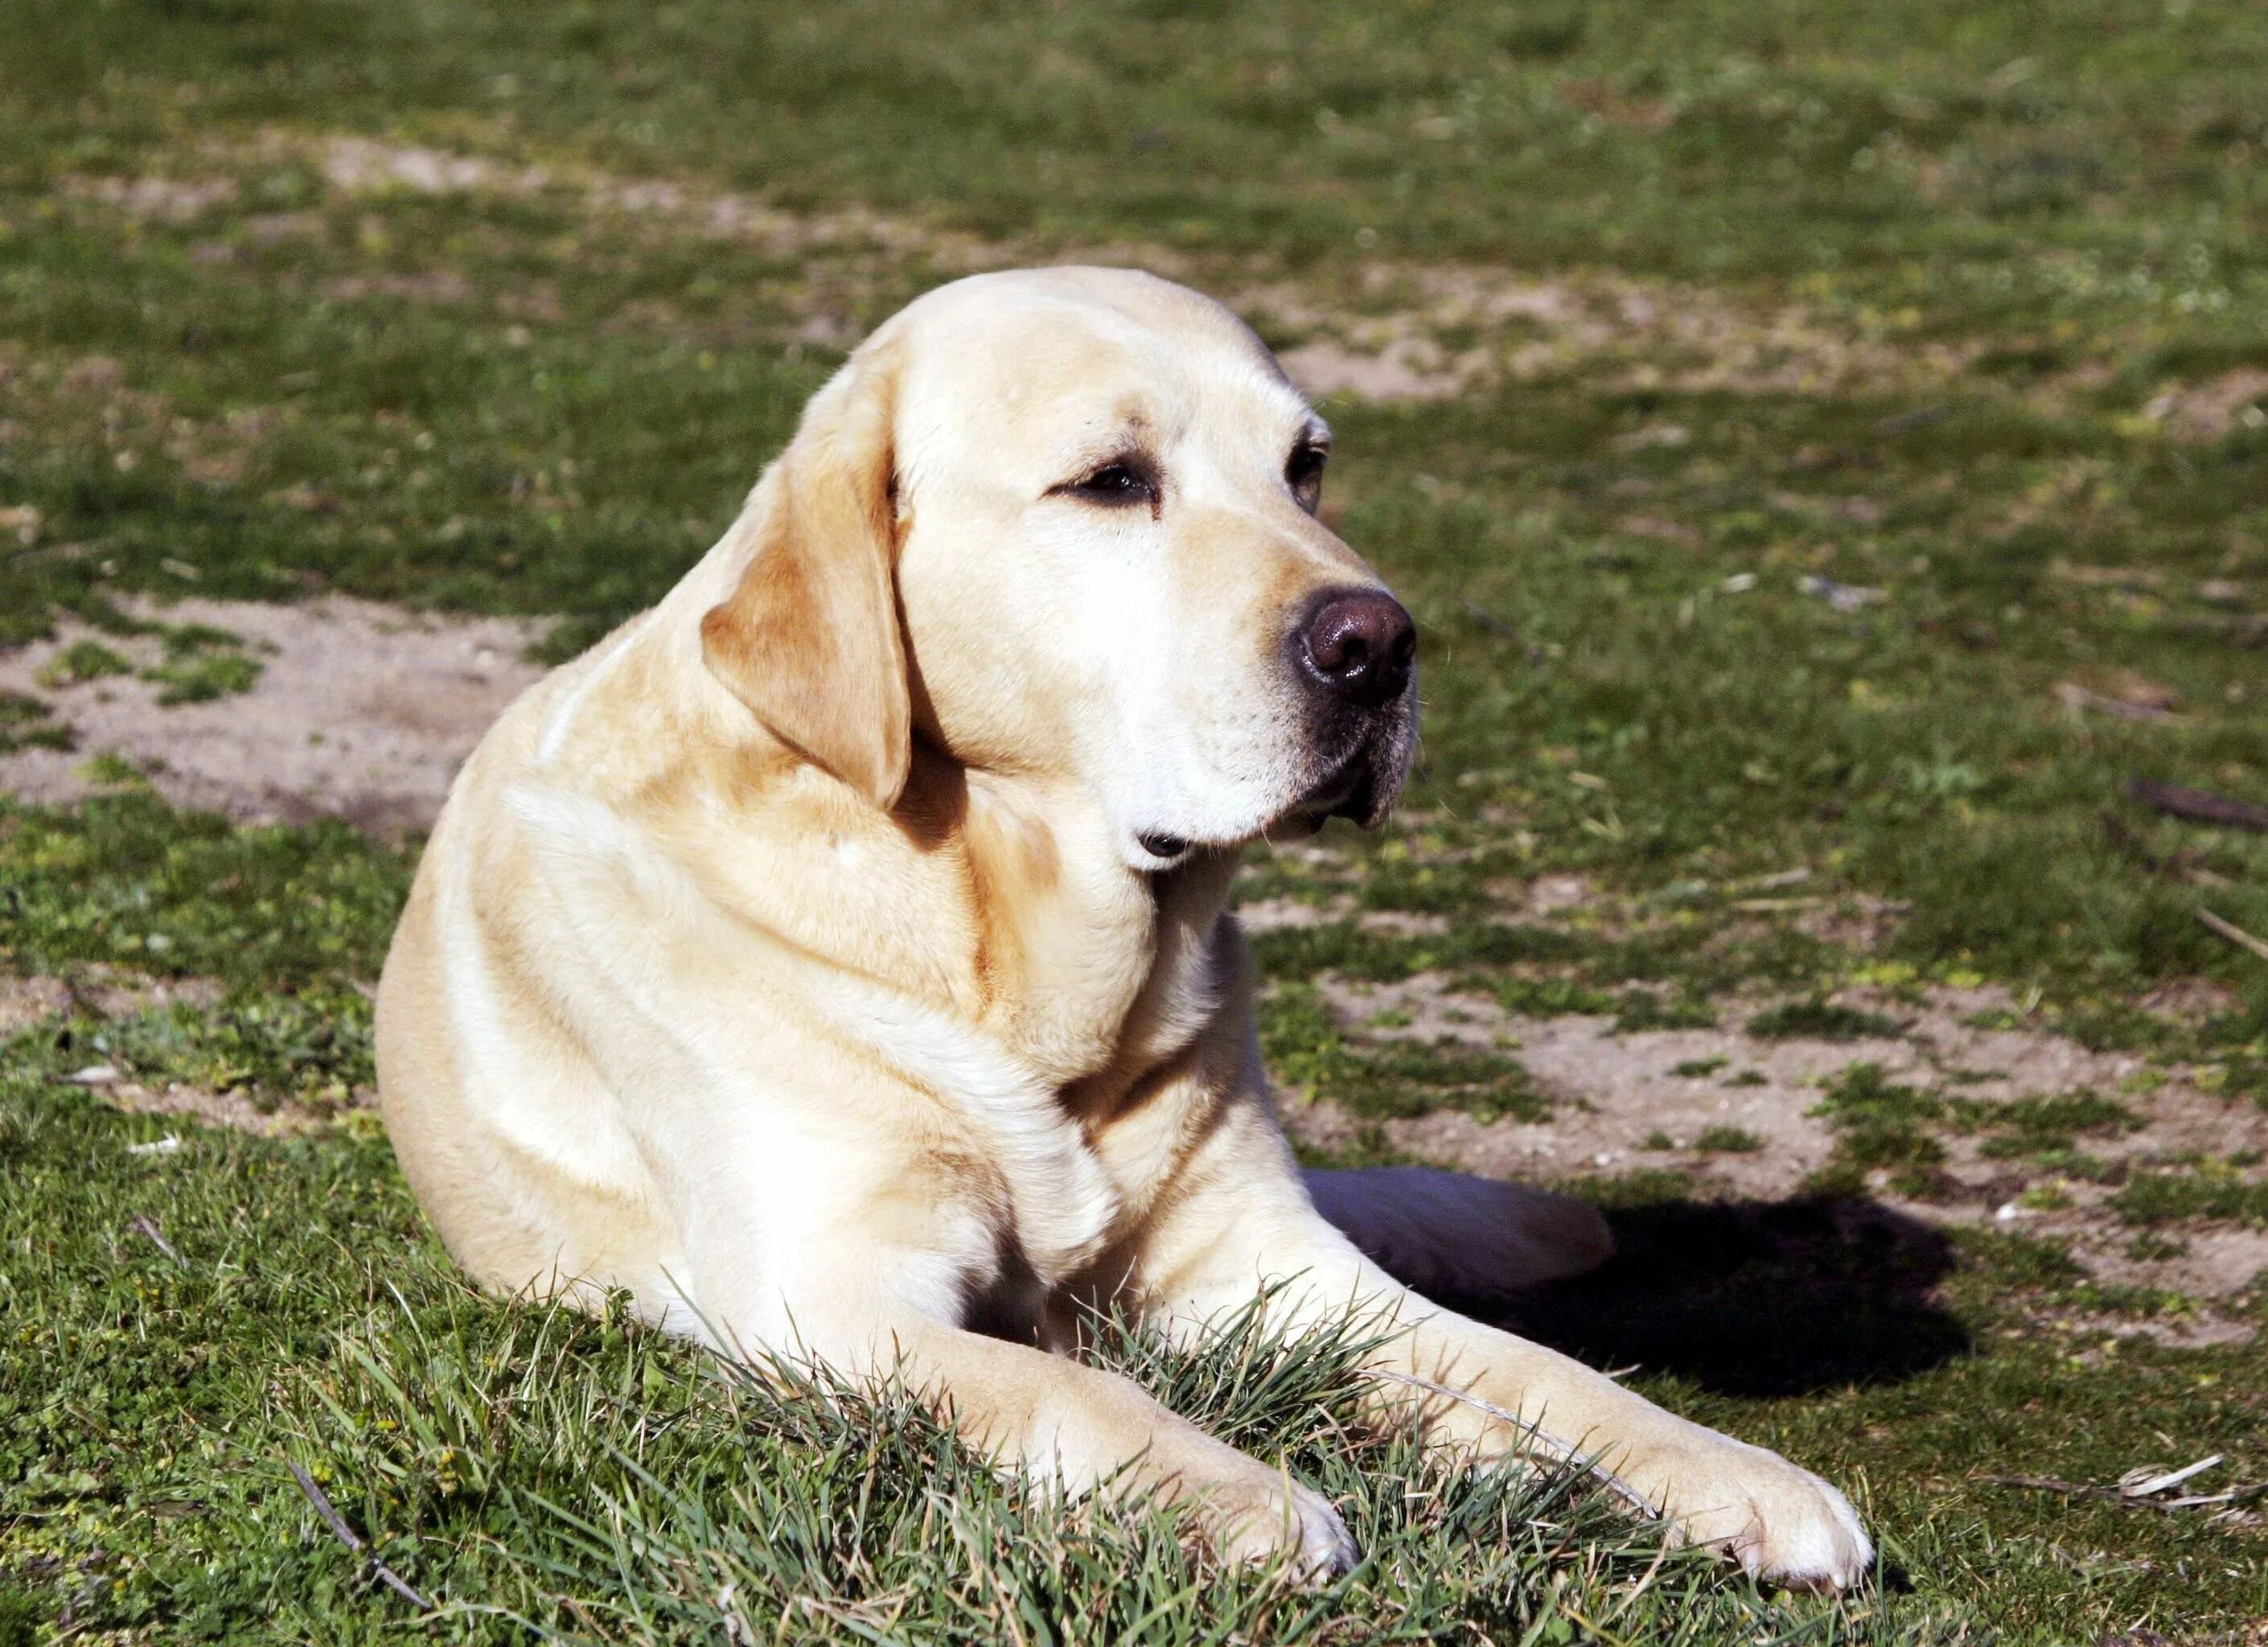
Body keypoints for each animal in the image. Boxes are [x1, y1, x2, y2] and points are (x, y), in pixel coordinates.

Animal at [367, 267, 1859, 1587]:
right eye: (1113, 480)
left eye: (1307, 467)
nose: (1379, 642)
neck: (1017, 947)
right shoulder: (829, 1297)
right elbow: (1058, 1393)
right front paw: (1239, 1494)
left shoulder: (1274, 1258)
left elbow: (1541, 1368)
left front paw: (1734, 1473)